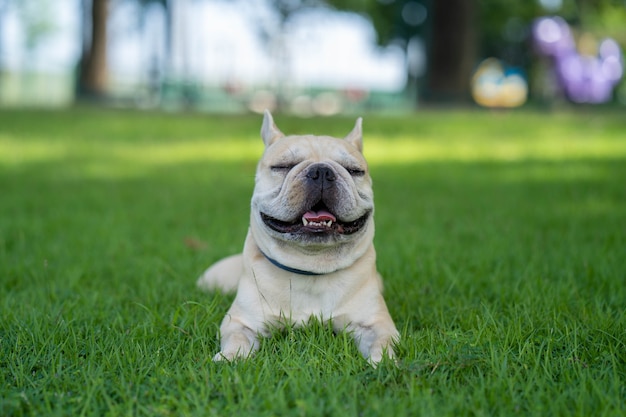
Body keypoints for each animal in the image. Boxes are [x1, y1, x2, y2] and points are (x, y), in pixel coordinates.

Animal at [197, 110, 398, 364]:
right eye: (282, 166)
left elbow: (382, 343)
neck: (311, 266)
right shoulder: (241, 323)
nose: (322, 171)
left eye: (354, 170)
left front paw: (384, 363)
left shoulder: (376, 324)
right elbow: (237, 339)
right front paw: (230, 358)